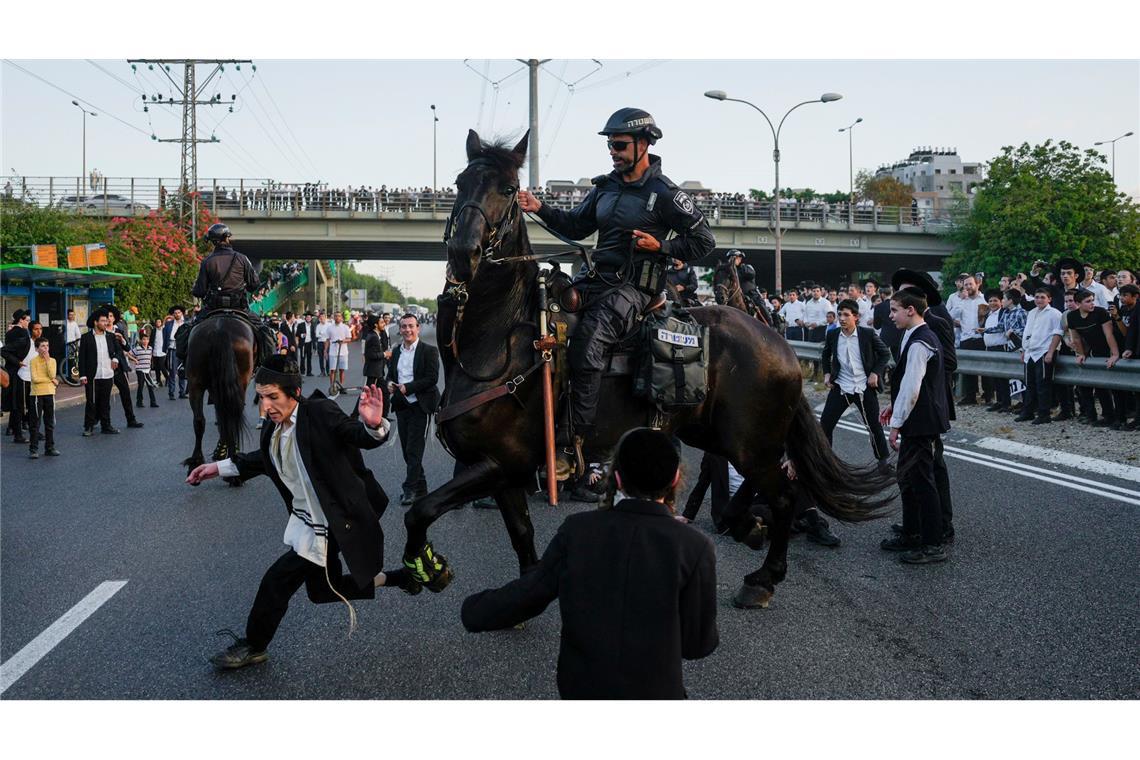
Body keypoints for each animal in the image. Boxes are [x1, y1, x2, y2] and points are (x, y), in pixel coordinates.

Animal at [180, 314, 254, 480]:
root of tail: (220, 329)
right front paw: (222, 450)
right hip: (240, 381)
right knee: (231, 417)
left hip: (195, 382)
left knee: (199, 420)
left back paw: (196, 462)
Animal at [401, 129, 889, 606]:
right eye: (460, 183)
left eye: (506, 188)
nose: (463, 252)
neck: (499, 338)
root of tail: (779, 342)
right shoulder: (499, 468)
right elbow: (519, 533)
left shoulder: (503, 462)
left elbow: (420, 511)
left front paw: (424, 566)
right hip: (717, 433)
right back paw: (745, 525)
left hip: (750, 440)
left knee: (784, 494)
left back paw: (763, 575)